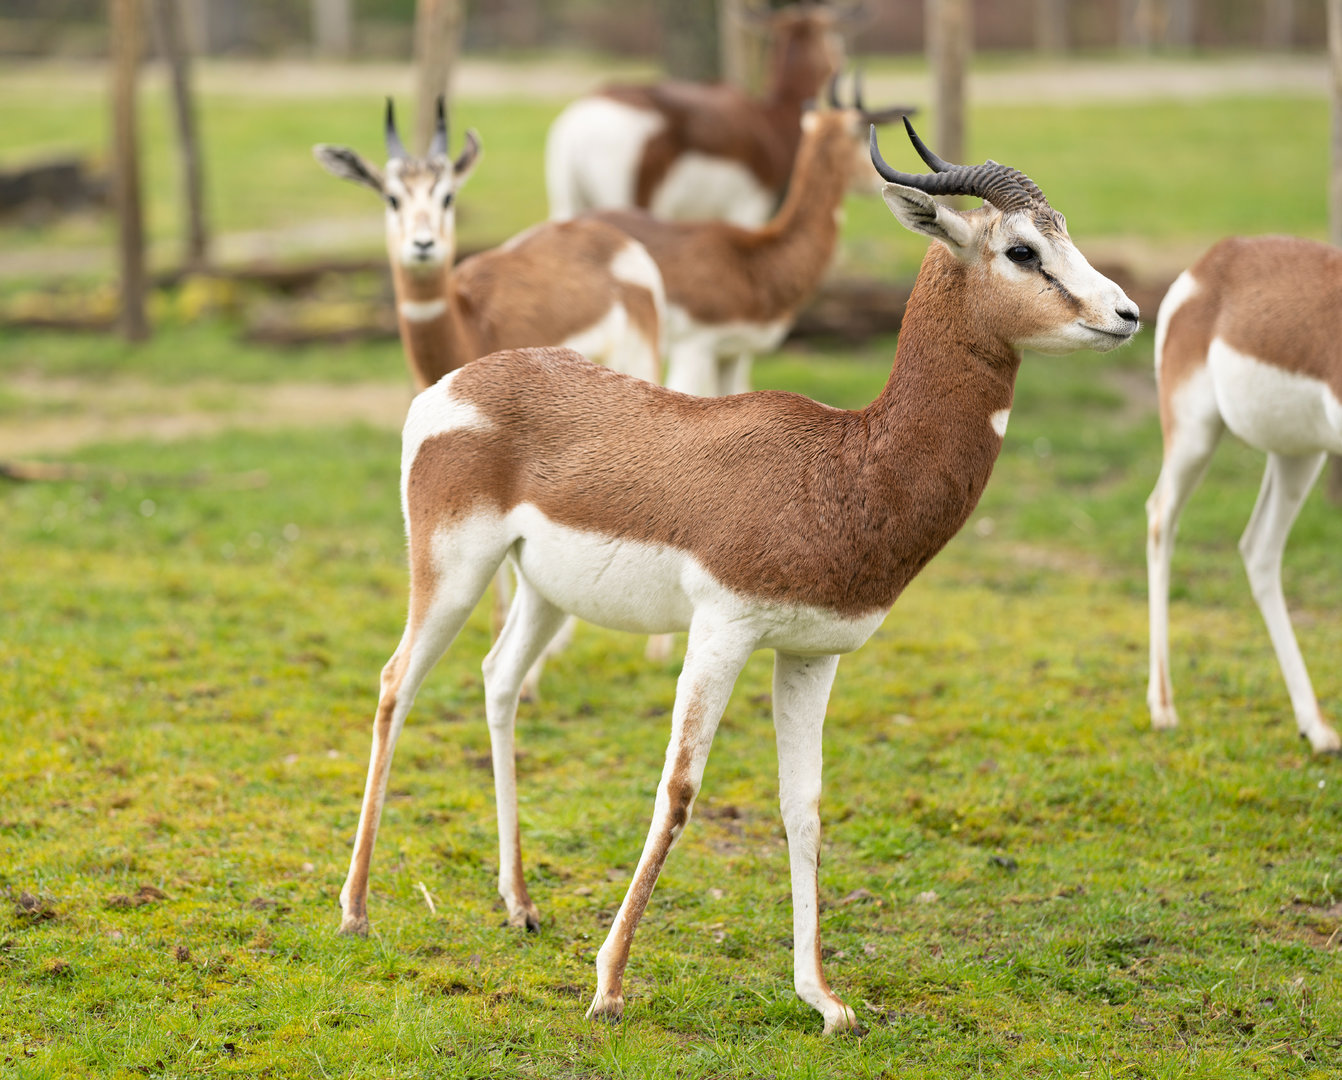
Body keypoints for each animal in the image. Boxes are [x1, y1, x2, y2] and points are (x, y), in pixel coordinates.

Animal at [314, 100, 671, 694]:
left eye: (447, 195)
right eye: (392, 197)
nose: (423, 245)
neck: (467, 325)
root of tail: (608, 236)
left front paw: (526, 679)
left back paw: (656, 649)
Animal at [545, 3, 852, 227]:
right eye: (834, 36)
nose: (844, 62)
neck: (768, 119)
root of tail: (578, 127)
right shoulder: (749, 206)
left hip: (567, 204)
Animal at [1146, 235, 1342, 753]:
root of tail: (1213, 260)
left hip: (1298, 455)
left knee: (1259, 549)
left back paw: (1316, 727)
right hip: (1194, 436)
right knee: (1160, 516)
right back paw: (1163, 708)